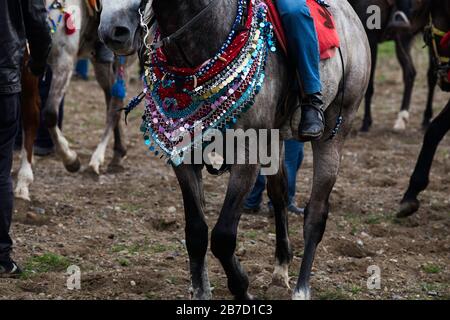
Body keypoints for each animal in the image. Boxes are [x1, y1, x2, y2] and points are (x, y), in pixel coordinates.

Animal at [98, 0, 370, 300]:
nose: (114, 31)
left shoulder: (247, 156)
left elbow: (223, 237)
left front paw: (242, 289)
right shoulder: (185, 157)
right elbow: (196, 232)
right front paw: (201, 292)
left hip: (335, 130)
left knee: (316, 213)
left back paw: (301, 289)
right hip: (275, 137)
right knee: (279, 195)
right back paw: (280, 272)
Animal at [348, 0, 432, 131]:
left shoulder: (371, 39)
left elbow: (369, 86)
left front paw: (366, 122)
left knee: (432, 76)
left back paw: (426, 119)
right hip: (403, 40)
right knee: (410, 73)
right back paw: (402, 117)